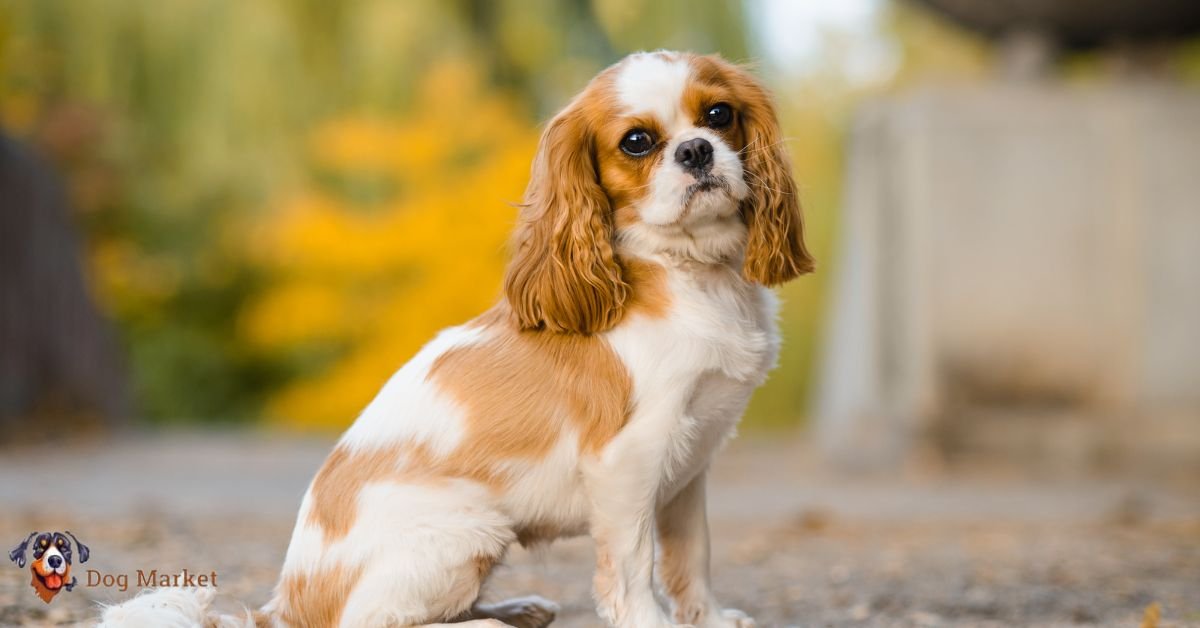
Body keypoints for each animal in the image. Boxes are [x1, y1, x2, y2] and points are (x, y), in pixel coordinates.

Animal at [100, 51, 816, 628]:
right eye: (637, 142)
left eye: (719, 115)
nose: (696, 150)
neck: (689, 272)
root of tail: (286, 607)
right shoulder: (629, 462)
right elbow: (634, 568)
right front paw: (653, 623)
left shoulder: (687, 467)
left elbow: (692, 557)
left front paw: (710, 619)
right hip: (468, 532)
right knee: (378, 623)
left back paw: (516, 609)